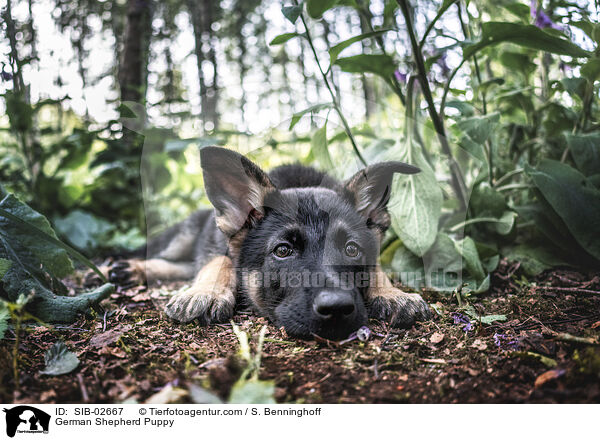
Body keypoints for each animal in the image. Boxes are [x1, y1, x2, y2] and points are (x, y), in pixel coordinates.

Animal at [131, 148, 432, 340]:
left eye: (351, 249)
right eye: (283, 251)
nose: (336, 308)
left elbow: (377, 267)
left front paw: (392, 293)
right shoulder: (215, 244)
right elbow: (220, 261)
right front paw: (205, 292)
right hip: (183, 235)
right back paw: (135, 267)